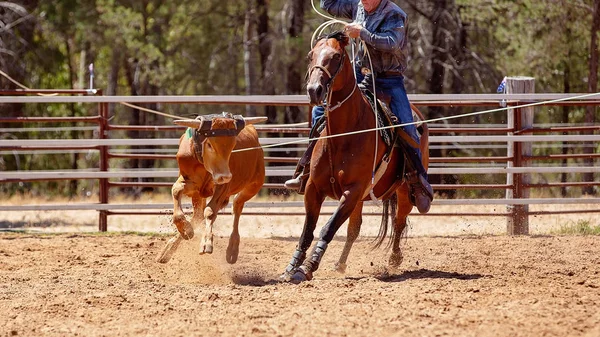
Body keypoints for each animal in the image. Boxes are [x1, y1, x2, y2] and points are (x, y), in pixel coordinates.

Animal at [282, 31, 432, 282]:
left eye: (336, 56)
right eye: (311, 55)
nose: (314, 90)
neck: (343, 135)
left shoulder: (352, 191)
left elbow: (328, 227)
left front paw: (307, 267)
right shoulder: (314, 188)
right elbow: (308, 230)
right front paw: (292, 267)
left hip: (403, 190)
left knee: (399, 221)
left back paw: (395, 258)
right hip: (362, 198)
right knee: (355, 228)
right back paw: (340, 264)